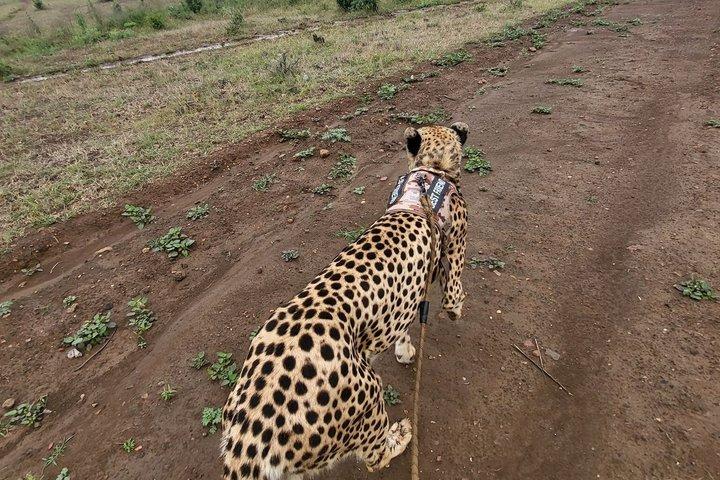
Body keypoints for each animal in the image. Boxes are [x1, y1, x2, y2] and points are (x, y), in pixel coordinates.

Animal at [221, 122, 470, 480]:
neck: (430, 173)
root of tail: (251, 432)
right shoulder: (454, 247)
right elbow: (453, 287)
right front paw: (455, 308)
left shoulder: (403, 301)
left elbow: (403, 324)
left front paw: (405, 350)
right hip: (367, 396)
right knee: (375, 456)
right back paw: (400, 436)